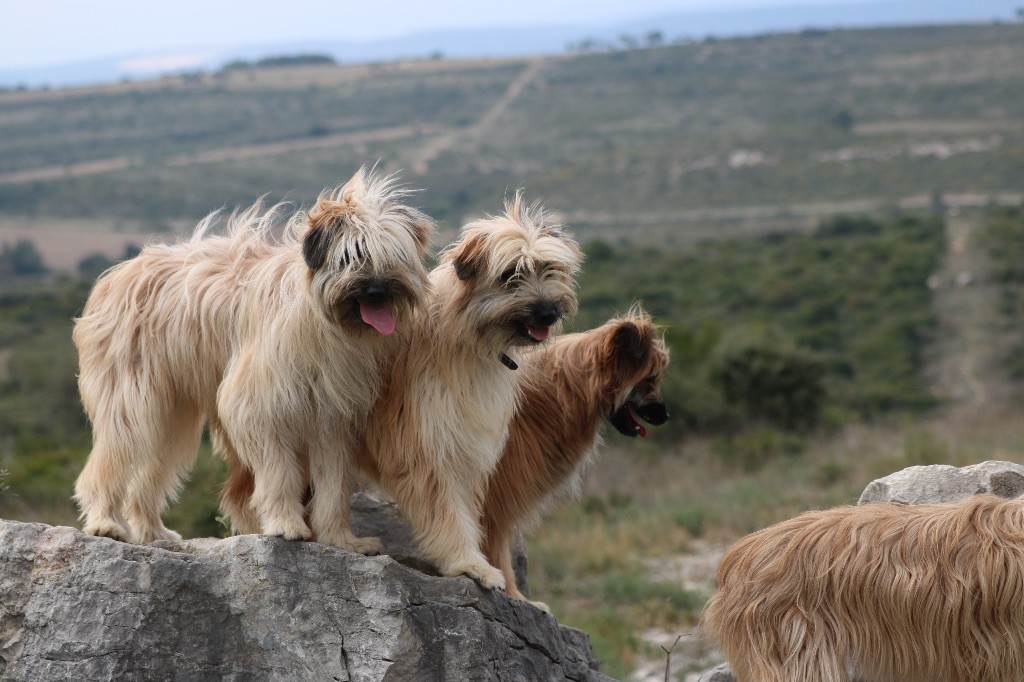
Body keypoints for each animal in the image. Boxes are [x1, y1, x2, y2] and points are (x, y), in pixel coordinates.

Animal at [72, 168, 432, 548]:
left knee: (150, 471)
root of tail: (119, 274)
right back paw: (104, 521)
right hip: (132, 400)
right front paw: (286, 522)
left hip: (172, 413)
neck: (321, 323)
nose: (377, 290)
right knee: (110, 459)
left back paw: (152, 529)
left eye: (392, 255)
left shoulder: (332, 419)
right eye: (351, 256)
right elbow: (278, 472)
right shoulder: (261, 406)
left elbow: (334, 487)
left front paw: (340, 538)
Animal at [352, 195, 585, 585]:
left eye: (549, 268)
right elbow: (446, 510)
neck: (464, 338)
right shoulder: (428, 442)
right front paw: (469, 563)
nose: (548, 312)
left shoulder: (467, 444)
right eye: (510, 275)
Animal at [481, 305, 671, 602]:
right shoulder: (497, 492)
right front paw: (514, 594)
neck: (562, 393)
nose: (666, 416)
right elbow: (496, 546)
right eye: (650, 379)